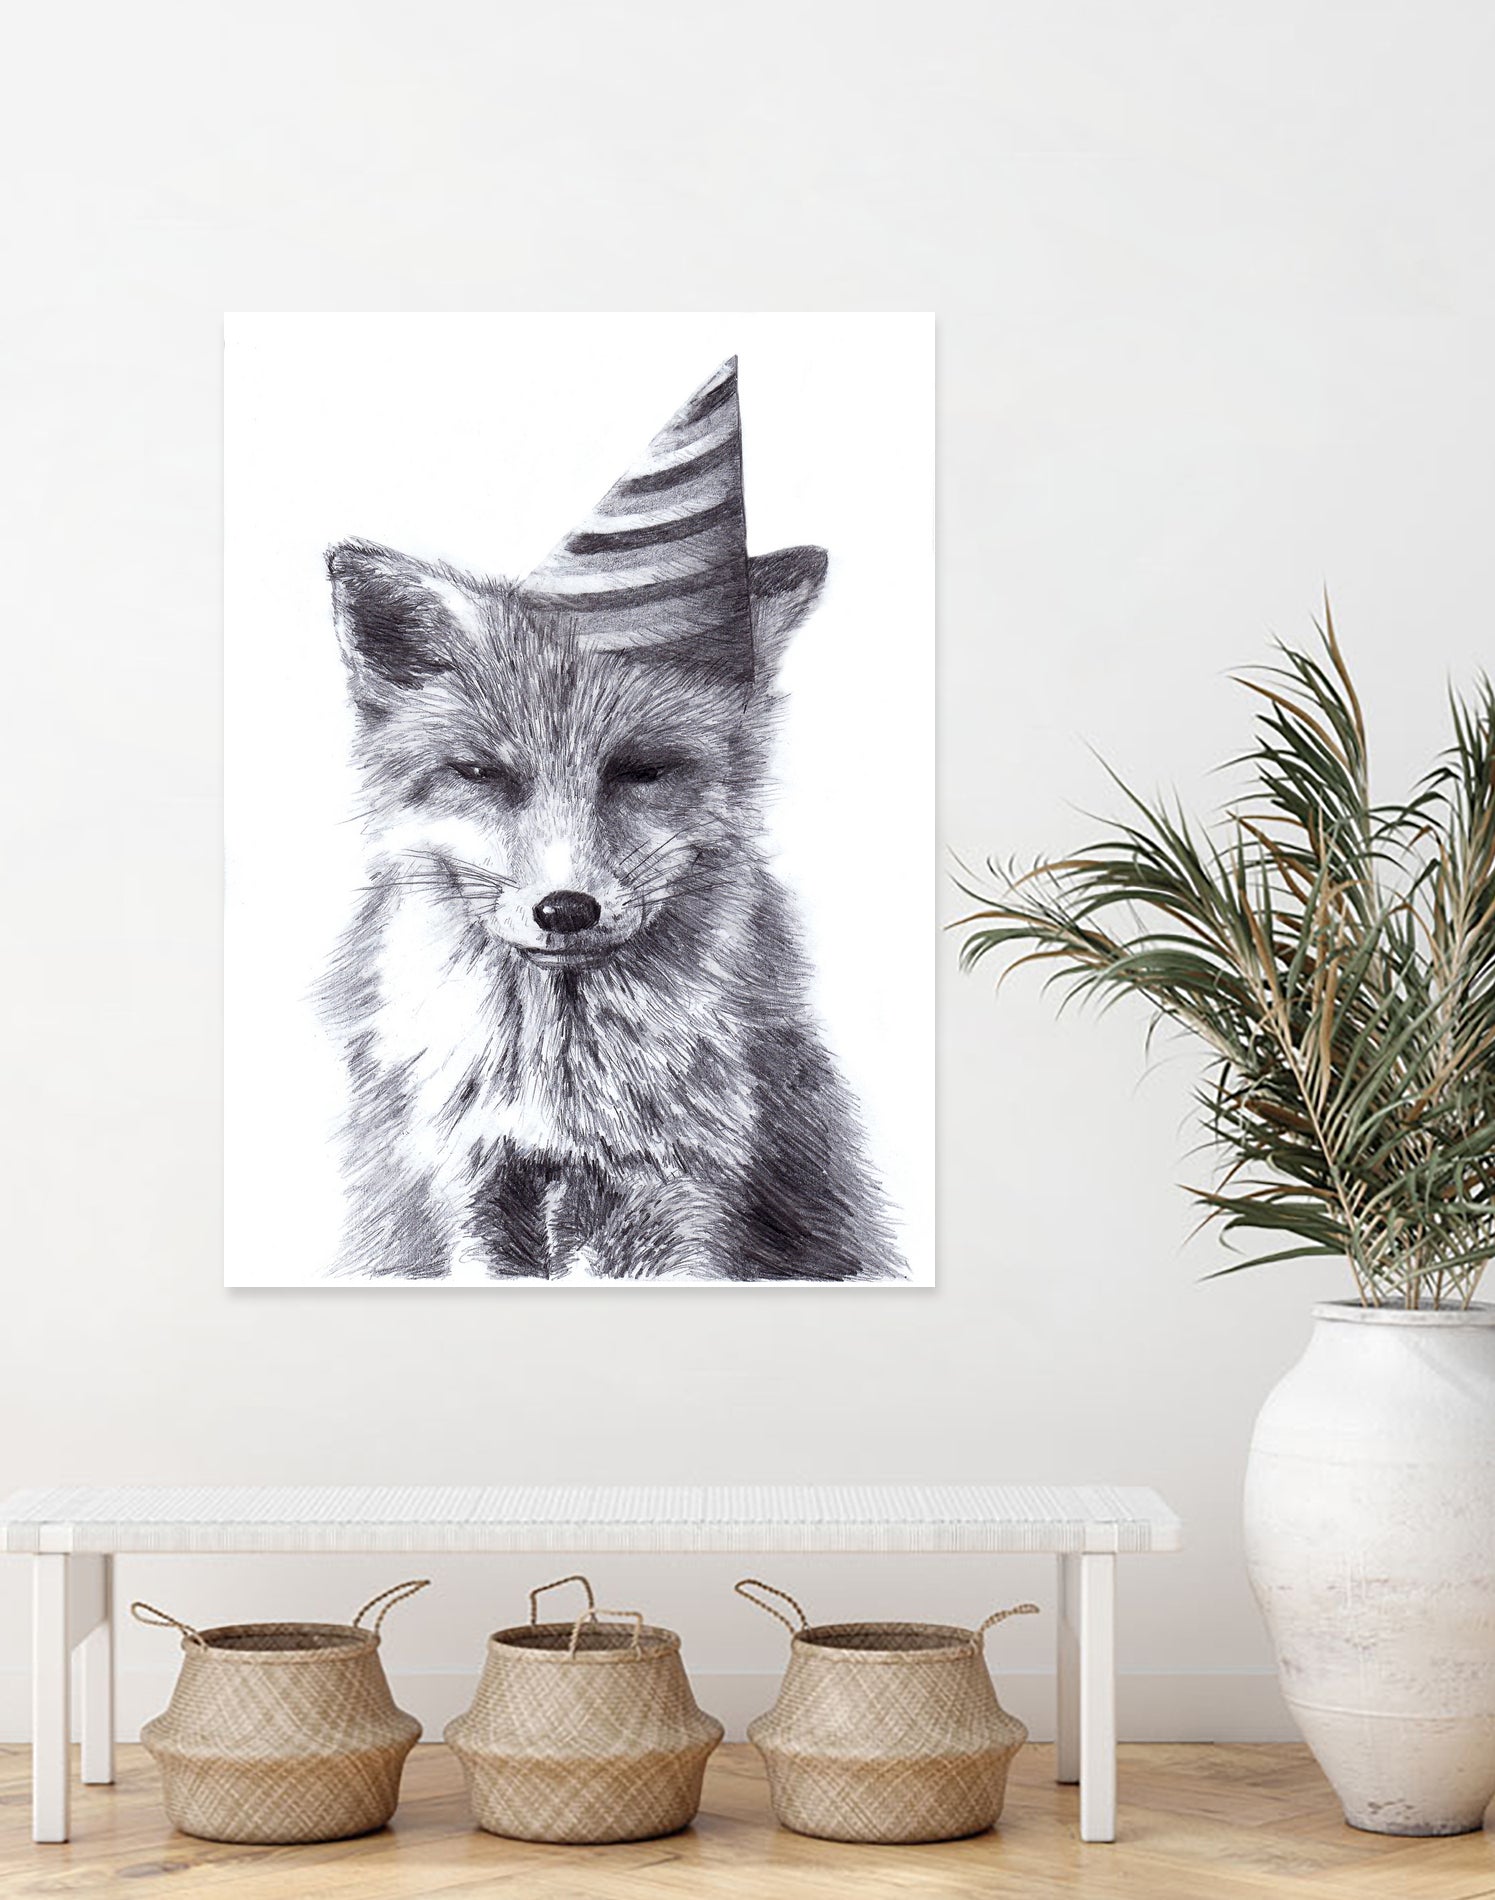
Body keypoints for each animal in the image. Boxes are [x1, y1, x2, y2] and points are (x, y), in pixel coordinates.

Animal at [319, 368, 906, 1282]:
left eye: (640, 770)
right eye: (482, 774)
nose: (566, 910)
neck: (557, 1098)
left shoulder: (682, 1198)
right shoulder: (463, 1195)